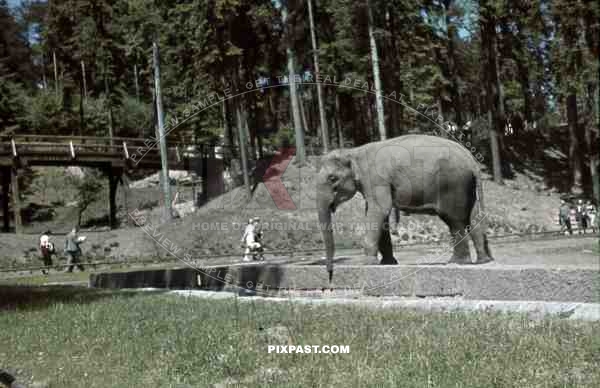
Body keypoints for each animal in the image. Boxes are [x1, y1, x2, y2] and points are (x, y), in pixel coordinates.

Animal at [316, 135, 494, 280]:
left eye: (332, 178)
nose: (330, 272)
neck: (353, 152)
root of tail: (472, 160)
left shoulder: (376, 179)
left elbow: (379, 210)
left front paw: (367, 263)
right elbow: (379, 214)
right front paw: (388, 263)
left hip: (452, 185)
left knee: (454, 220)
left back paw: (457, 262)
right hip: (468, 187)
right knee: (473, 218)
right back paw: (483, 261)